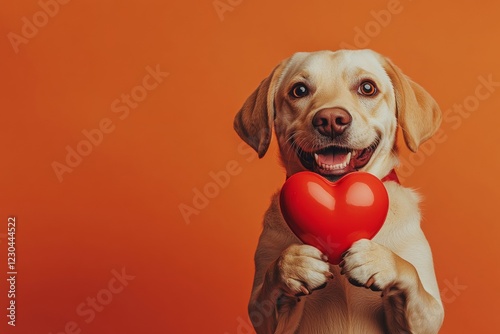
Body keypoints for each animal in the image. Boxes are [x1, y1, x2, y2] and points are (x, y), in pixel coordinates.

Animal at [232, 50, 444, 334]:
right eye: (299, 90)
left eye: (367, 87)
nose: (331, 120)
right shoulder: (263, 315)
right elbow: (271, 280)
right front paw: (292, 265)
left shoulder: (427, 314)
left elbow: (409, 271)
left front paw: (379, 259)